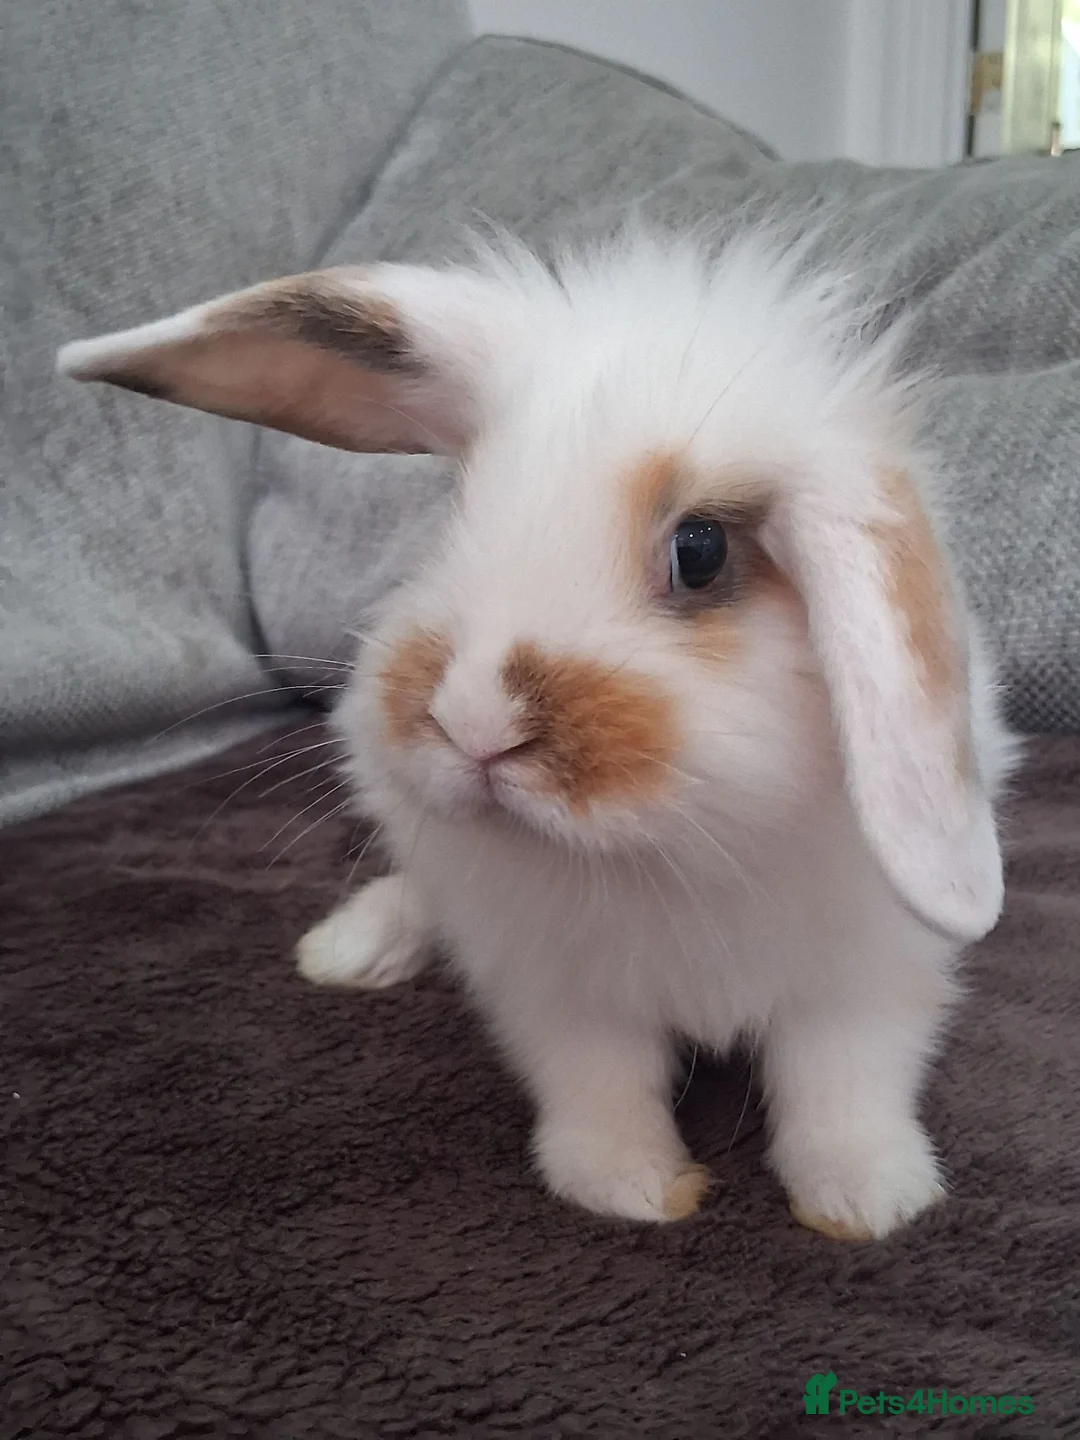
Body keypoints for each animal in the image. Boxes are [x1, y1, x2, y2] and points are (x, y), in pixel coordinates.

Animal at [58, 228, 1018, 1240]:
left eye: (701, 550)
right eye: (456, 506)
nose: (476, 725)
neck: (664, 855)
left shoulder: (865, 978)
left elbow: (841, 1084)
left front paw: (867, 1198)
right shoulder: (555, 986)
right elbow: (600, 1083)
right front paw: (629, 1185)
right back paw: (350, 952)